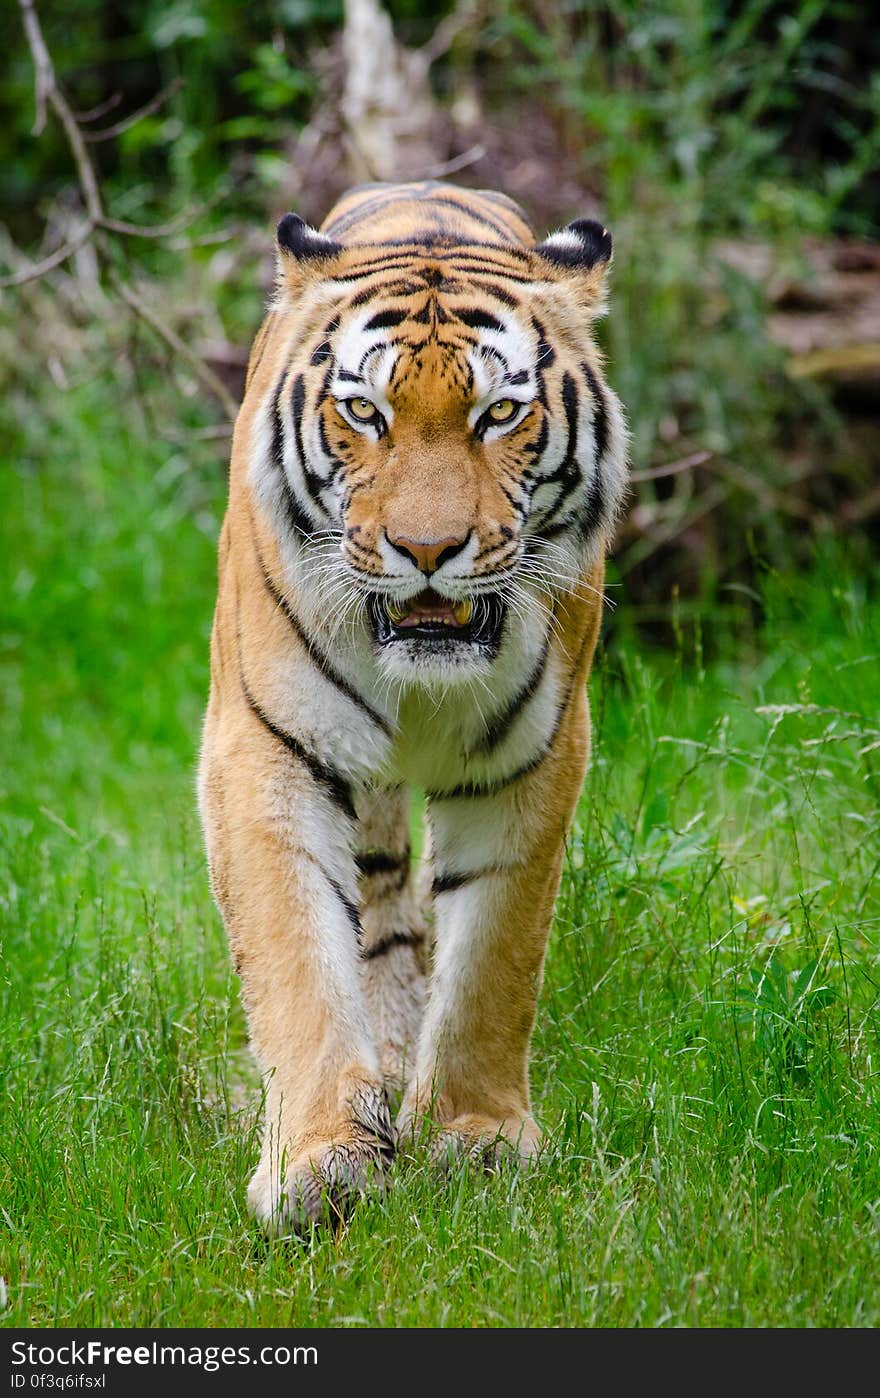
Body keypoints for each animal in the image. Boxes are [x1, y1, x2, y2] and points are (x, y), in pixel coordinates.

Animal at [195, 177, 626, 1235]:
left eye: (499, 413)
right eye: (365, 410)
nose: (427, 550)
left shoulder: (535, 759)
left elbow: (493, 961)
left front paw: (474, 1138)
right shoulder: (265, 749)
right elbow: (299, 958)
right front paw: (321, 1162)